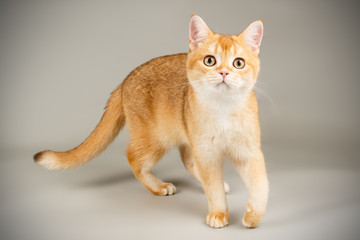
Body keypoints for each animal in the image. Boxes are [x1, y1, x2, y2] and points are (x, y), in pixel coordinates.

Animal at [33, 15, 268, 229]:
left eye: (239, 63)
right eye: (210, 60)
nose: (224, 72)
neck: (223, 110)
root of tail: (124, 81)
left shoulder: (248, 151)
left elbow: (261, 185)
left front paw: (253, 216)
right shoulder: (207, 153)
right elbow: (214, 188)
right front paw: (219, 214)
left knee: (187, 160)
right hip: (157, 137)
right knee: (134, 158)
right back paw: (158, 186)